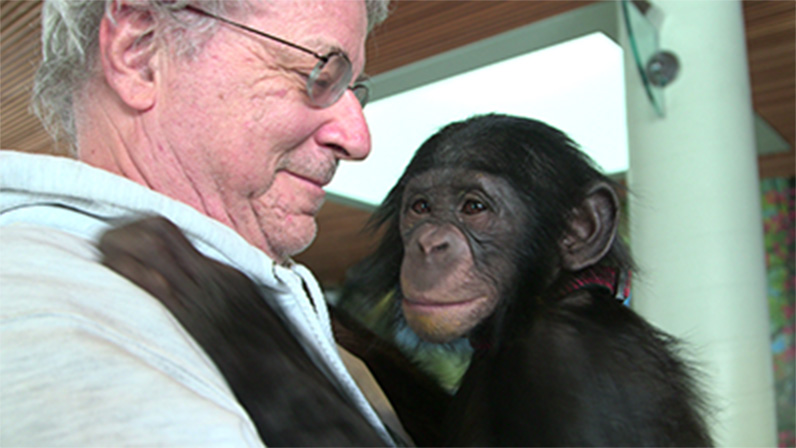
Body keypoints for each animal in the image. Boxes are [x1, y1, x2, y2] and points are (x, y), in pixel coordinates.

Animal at [101, 114, 716, 446]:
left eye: (473, 207)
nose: (429, 244)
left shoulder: (581, 366)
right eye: (421, 208)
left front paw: (215, 293)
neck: (543, 299)